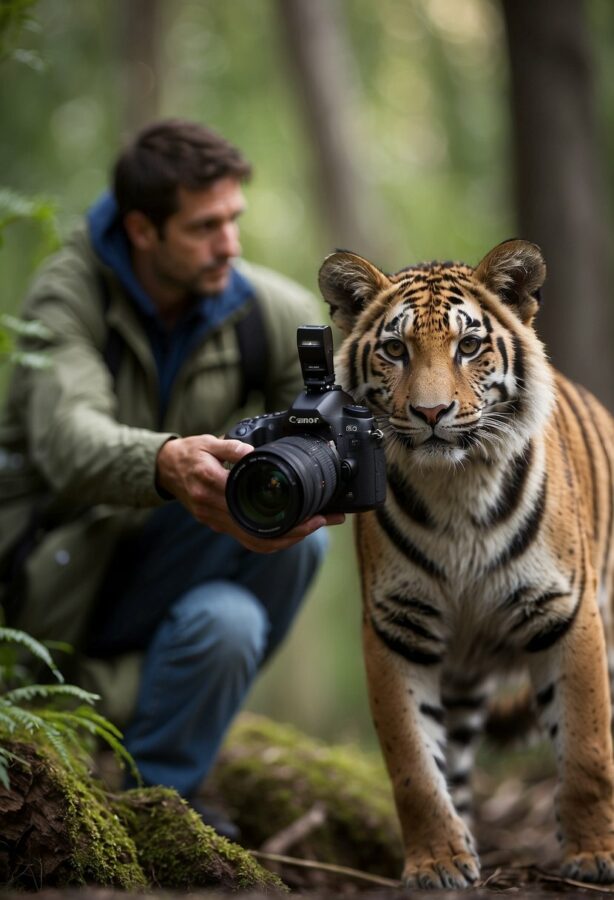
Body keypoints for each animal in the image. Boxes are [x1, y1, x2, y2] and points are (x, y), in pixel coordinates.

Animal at [318, 241, 614, 892]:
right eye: (395, 350)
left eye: (469, 345)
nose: (432, 412)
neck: (457, 488)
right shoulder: (397, 627)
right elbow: (414, 766)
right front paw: (438, 862)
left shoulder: (565, 612)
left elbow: (587, 749)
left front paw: (594, 856)